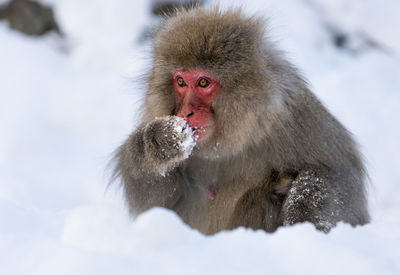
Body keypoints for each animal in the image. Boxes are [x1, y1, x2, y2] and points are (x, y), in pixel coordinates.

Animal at [112, 7, 368, 235]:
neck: (227, 141)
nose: (187, 112)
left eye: (203, 82)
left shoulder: (293, 117)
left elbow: (339, 175)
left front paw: (301, 217)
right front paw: (156, 143)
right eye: (181, 82)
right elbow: (156, 206)